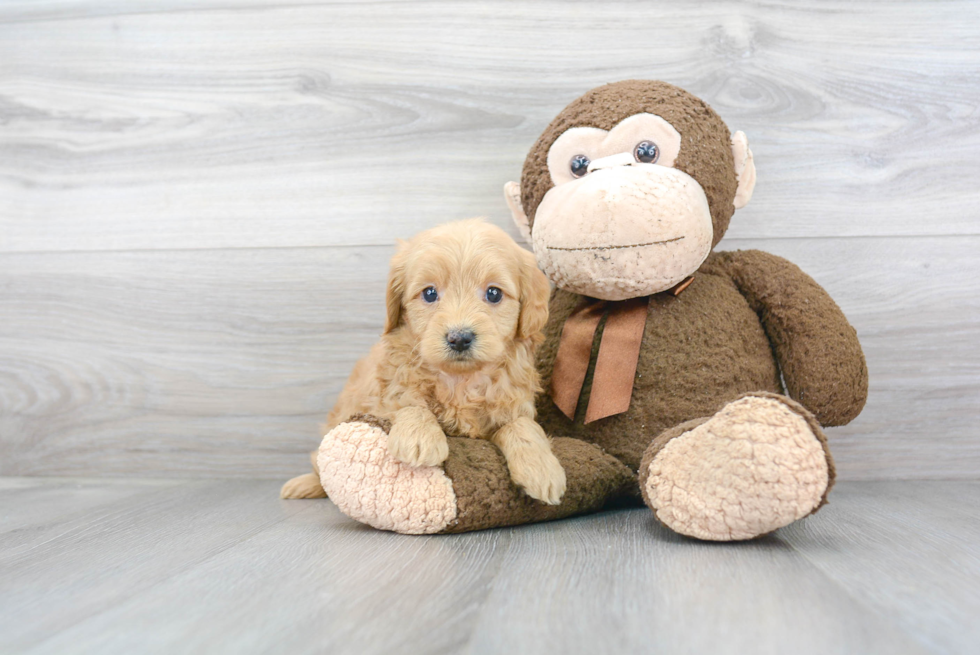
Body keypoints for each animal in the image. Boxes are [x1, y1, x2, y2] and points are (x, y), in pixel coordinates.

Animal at [278, 219, 568, 502]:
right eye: (429, 293)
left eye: (494, 294)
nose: (459, 338)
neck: (460, 380)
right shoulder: (386, 394)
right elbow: (409, 402)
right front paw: (419, 438)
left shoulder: (511, 403)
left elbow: (523, 425)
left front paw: (542, 469)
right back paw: (303, 485)